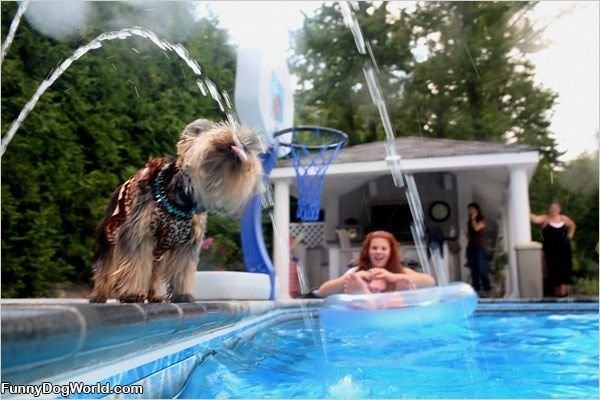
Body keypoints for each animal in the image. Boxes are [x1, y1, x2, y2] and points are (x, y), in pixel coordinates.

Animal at [90, 119, 264, 304]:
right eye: (223, 128)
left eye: (247, 147)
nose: (241, 144)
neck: (183, 198)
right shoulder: (139, 232)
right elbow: (136, 262)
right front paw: (132, 293)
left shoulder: (186, 244)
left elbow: (182, 269)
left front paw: (182, 294)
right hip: (109, 234)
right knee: (105, 265)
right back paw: (99, 294)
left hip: (159, 249)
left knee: (156, 269)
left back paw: (156, 295)